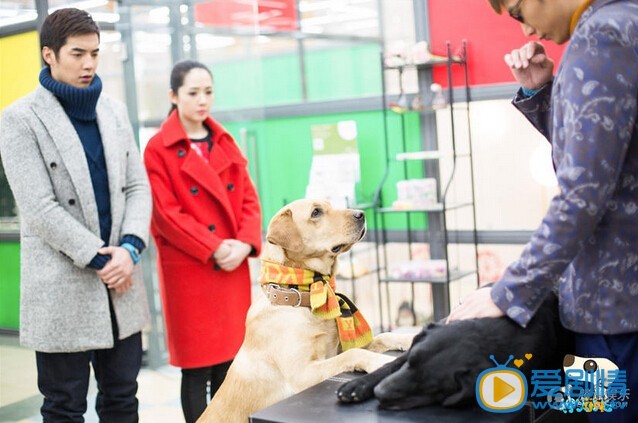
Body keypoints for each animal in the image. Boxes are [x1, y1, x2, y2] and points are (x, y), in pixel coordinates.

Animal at [199, 200, 416, 422]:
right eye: (316, 212)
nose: (361, 214)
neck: (303, 296)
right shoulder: (302, 374)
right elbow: (353, 353)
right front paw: (381, 361)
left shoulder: (335, 350)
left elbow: (383, 336)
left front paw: (411, 338)